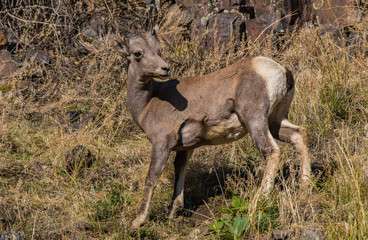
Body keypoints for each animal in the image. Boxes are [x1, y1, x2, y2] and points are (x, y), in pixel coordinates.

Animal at [115, 27, 310, 228]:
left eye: (159, 50)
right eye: (138, 53)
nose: (164, 68)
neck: (148, 103)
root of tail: (281, 71)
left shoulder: (161, 144)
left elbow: (152, 177)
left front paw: (137, 221)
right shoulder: (185, 148)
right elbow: (179, 171)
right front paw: (172, 212)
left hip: (255, 120)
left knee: (271, 151)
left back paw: (260, 199)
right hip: (276, 121)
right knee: (299, 134)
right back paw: (304, 188)